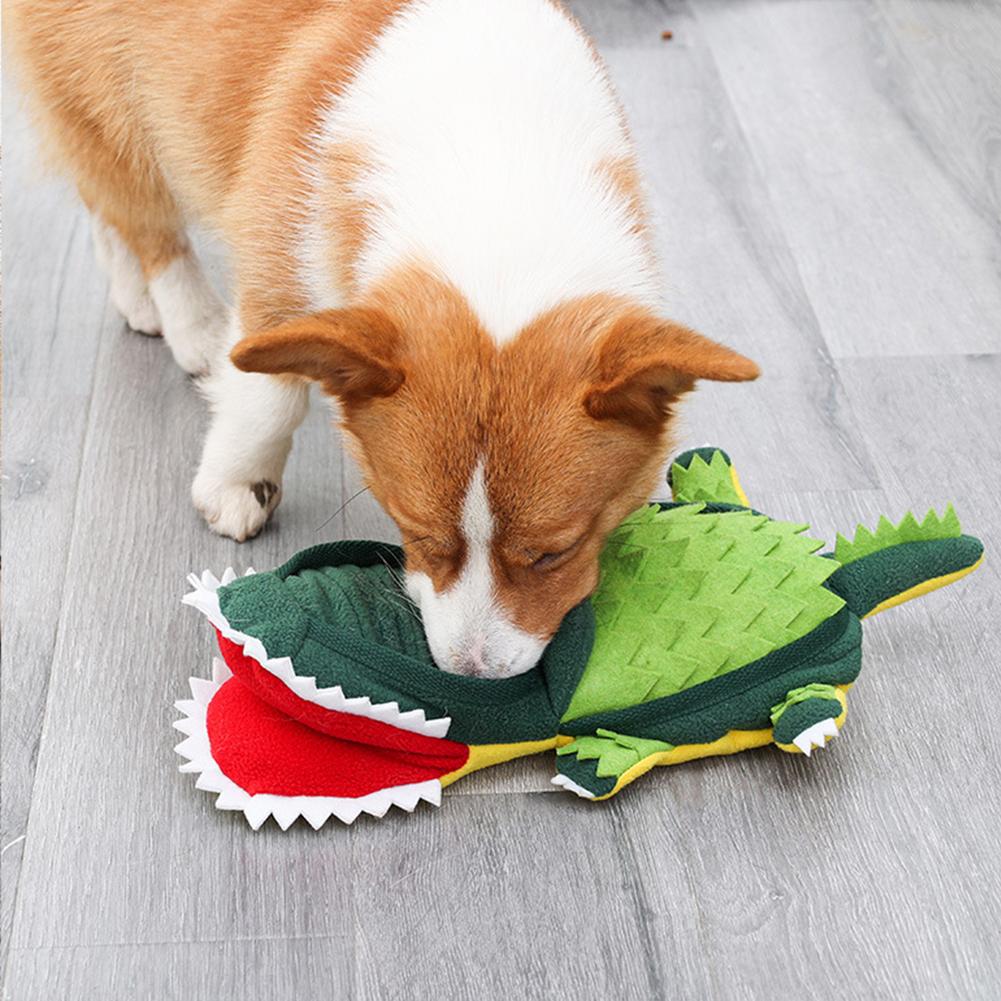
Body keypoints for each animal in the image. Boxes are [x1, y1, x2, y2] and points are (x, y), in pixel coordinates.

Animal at [9, 0, 756, 680]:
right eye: (416, 531)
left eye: (554, 551)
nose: (470, 674)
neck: (490, 163)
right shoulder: (278, 272)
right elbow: (267, 399)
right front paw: (235, 482)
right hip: (108, 94)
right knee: (139, 209)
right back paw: (190, 321)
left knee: (102, 202)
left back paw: (136, 298)